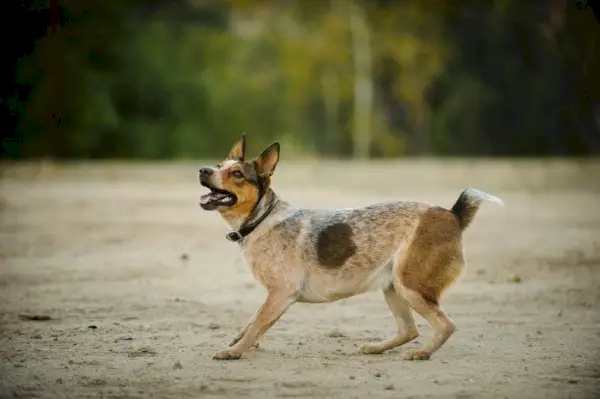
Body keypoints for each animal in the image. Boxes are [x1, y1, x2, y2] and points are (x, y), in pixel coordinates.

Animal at [198, 134, 502, 362]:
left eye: (237, 173)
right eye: (218, 165)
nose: (203, 170)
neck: (261, 219)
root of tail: (452, 214)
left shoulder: (282, 292)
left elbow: (258, 324)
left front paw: (234, 351)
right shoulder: (275, 295)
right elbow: (253, 321)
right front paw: (239, 340)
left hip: (410, 286)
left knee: (445, 325)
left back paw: (422, 354)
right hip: (393, 287)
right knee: (409, 330)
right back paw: (376, 348)